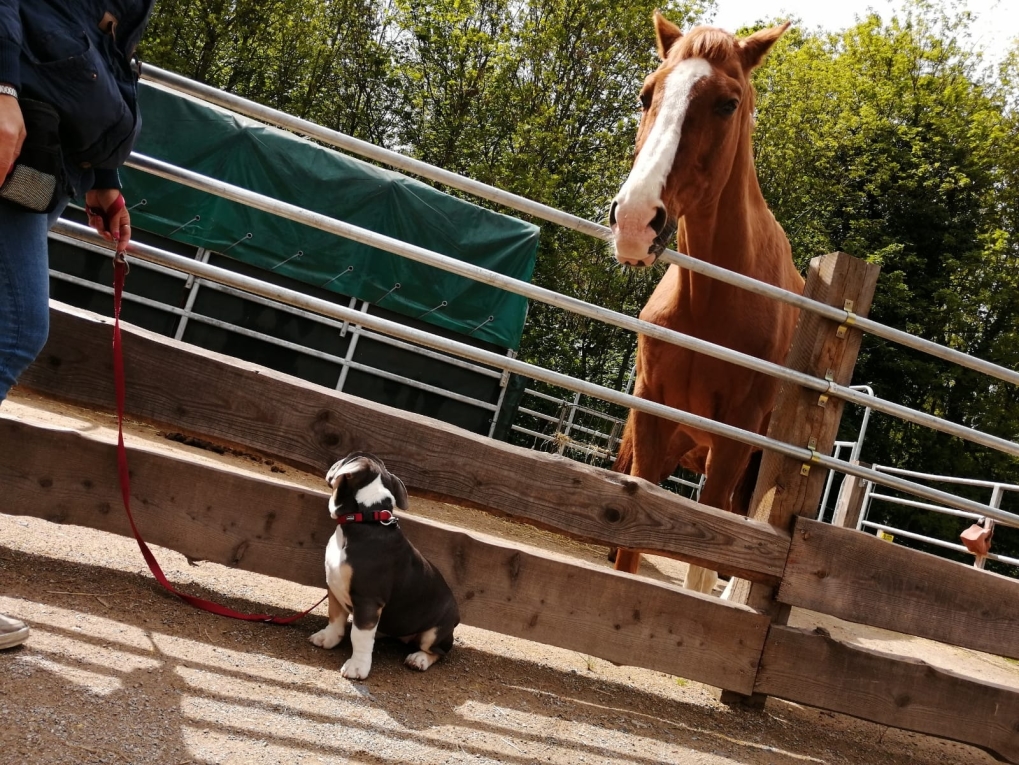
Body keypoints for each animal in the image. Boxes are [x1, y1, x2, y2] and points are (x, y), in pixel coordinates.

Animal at [305, 452, 458, 680]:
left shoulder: (368, 600)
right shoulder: (334, 586)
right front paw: (328, 638)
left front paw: (357, 667)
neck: (365, 517)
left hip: (434, 632)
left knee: (437, 650)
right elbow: (335, 616)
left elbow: (359, 636)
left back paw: (419, 659)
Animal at [603, 14, 802, 594]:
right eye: (647, 94)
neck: (710, 302)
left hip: (751, 467)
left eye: (727, 104)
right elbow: (629, 534)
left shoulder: (732, 440)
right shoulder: (651, 413)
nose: (635, 219)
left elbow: (706, 553)